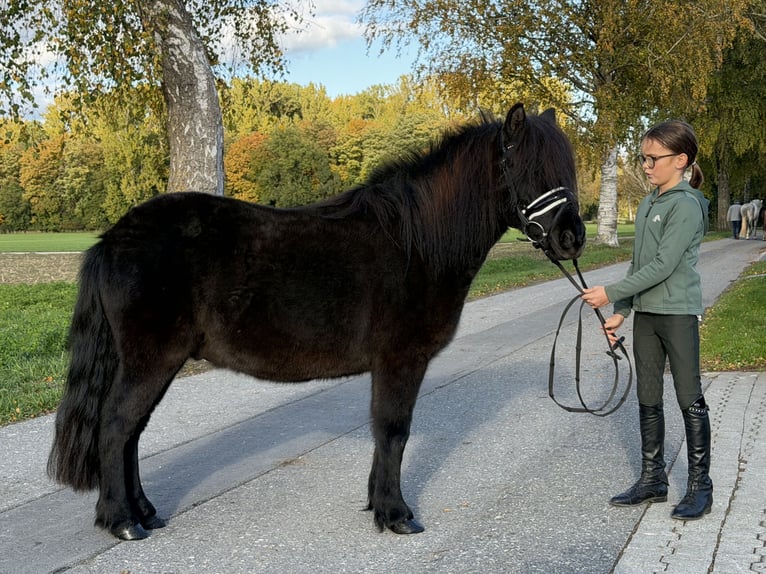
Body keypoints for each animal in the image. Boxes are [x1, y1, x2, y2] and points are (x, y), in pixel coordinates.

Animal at [47, 104, 586, 541]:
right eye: (529, 169)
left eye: (568, 169)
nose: (572, 238)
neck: (416, 243)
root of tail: (113, 238)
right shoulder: (401, 359)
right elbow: (394, 430)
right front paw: (397, 515)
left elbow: (383, 431)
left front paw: (377, 503)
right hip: (150, 360)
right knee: (116, 427)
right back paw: (121, 521)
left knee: (131, 433)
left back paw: (144, 512)